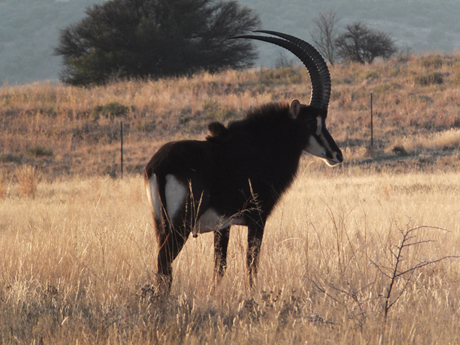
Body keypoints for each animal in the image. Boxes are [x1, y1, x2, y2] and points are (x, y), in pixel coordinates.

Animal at [144, 31, 342, 290]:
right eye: (312, 122)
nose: (336, 155)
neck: (261, 145)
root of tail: (160, 166)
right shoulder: (257, 218)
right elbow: (251, 264)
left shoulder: (223, 226)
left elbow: (219, 268)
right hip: (182, 224)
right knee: (164, 259)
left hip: (160, 222)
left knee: (163, 264)